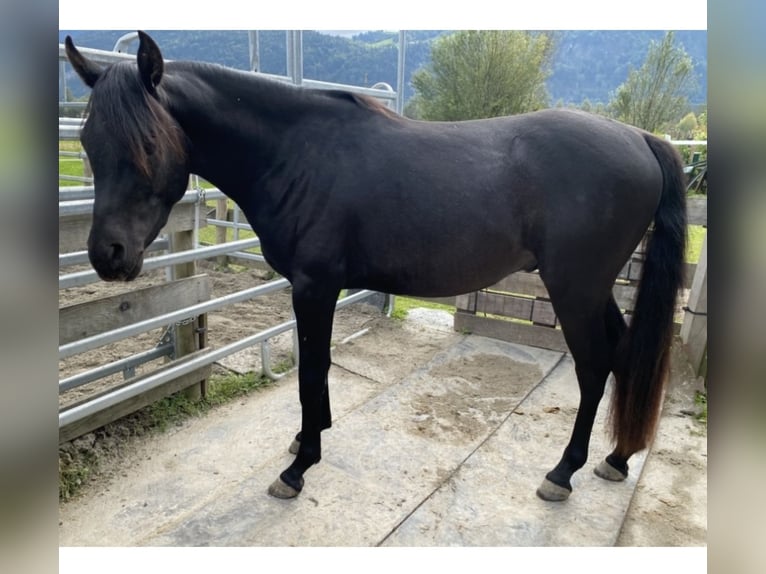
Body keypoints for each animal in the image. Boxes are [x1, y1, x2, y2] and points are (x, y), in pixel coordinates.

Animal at [65, 31, 687, 502]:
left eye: (148, 144)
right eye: (89, 141)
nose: (107, 255)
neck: (295, 154)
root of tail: (640, 137)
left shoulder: (314, 288)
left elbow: (312, 371)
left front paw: (299, 467)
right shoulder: (317, 291)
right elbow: (316, 368)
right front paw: (307, 440)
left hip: (574, 288)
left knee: (594, 365)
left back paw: (564, 472)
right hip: (593, 289)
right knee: (623, 353)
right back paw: (617, 457)